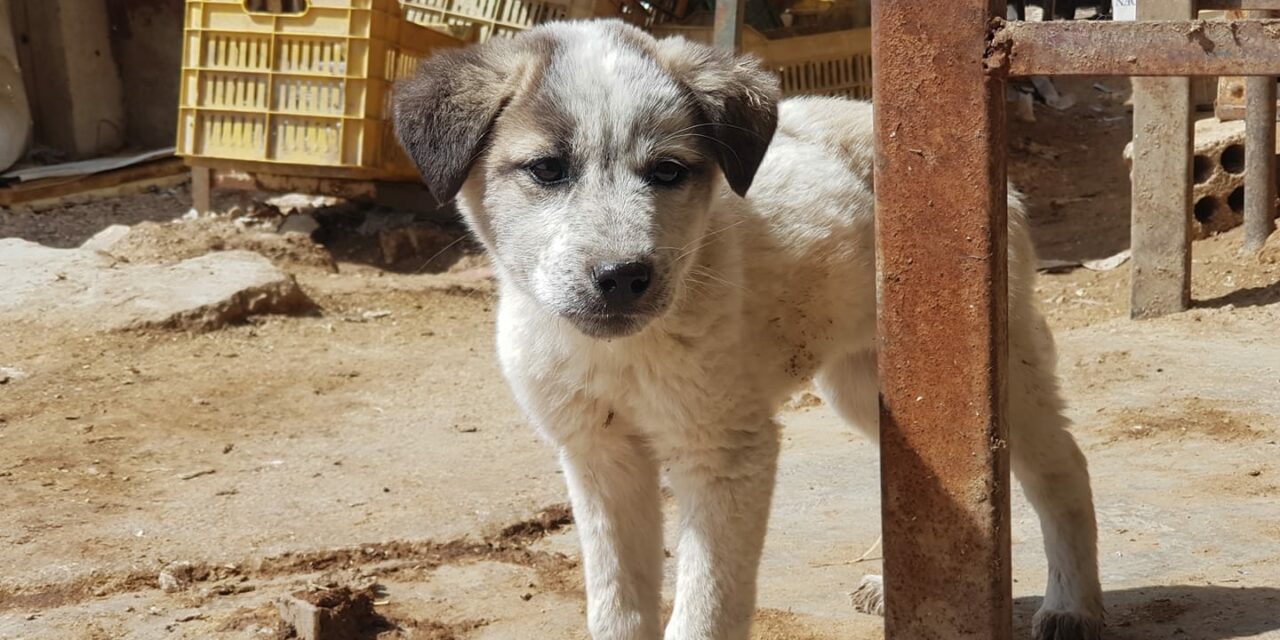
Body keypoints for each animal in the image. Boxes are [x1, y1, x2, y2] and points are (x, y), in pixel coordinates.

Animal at [394, 20, 1105, 640]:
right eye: (546, 169)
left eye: (668, 171)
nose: (623, 278)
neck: (621, 352)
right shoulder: (598, 455)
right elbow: (617, 608)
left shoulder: (724, 453)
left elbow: (704, 613)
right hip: (868, 381)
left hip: (998, 362)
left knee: (1063, 468)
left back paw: (1073, 605)